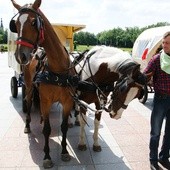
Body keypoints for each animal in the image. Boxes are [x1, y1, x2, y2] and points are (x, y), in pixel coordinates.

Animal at [10, 0, 76, 167]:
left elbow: (64, 127)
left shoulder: (67, 101)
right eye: (16, 24)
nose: (21, 56)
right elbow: (47, 129)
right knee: (28, 102)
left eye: (34, 22)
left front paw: (64, 152)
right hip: (28, 85)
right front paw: (47, 156)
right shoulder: (46, 101)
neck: (58, 69)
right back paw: (28, 125)